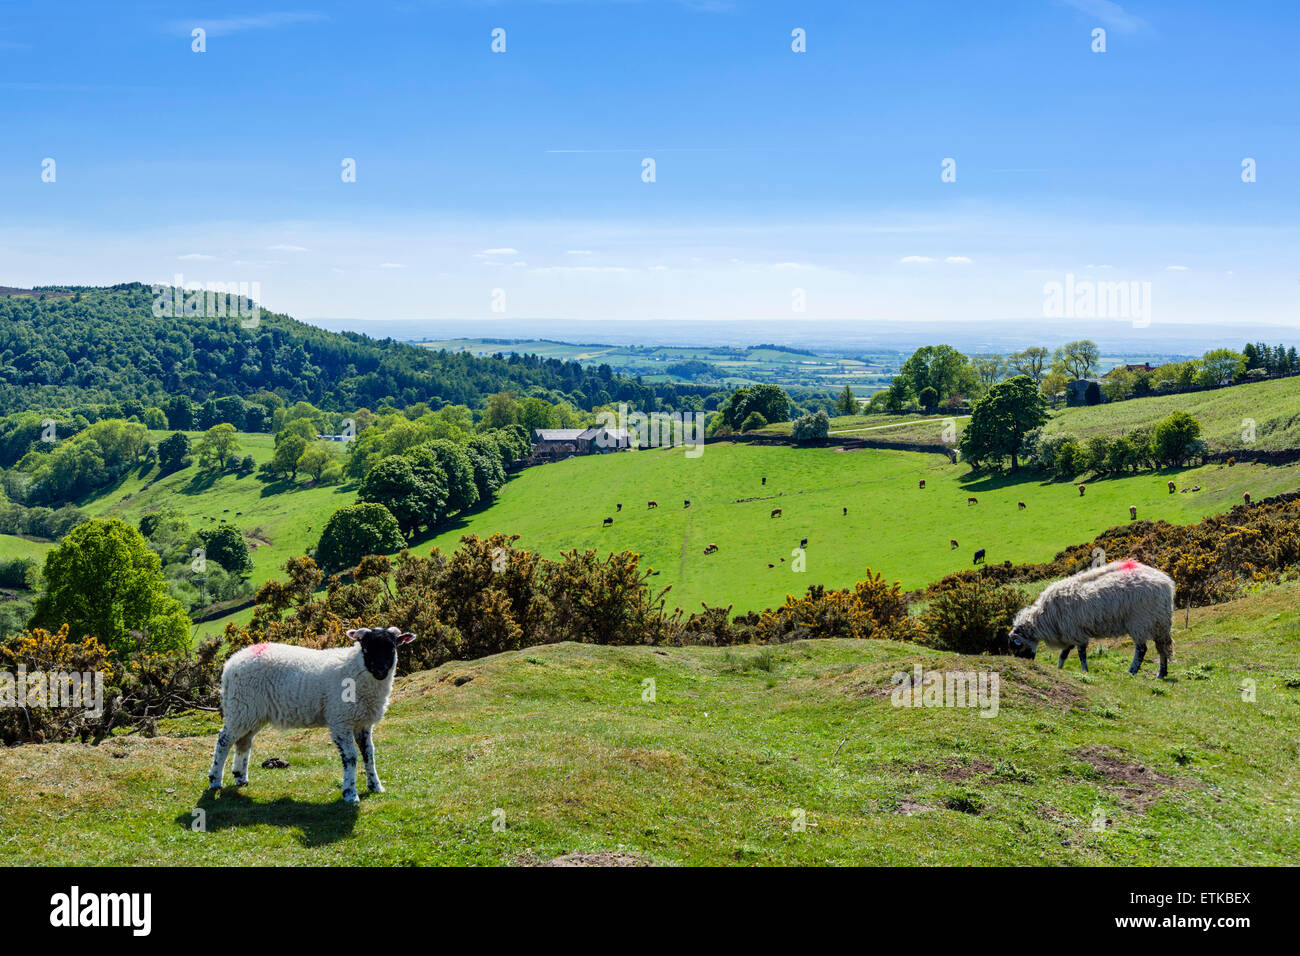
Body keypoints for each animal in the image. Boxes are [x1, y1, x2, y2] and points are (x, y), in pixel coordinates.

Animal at [208, 629, 413, 801]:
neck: (355, 670)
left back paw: (240, 778)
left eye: (392, 647)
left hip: (252, 713)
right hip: (241, 707)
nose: (380, 669)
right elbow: (351, 757)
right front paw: (350, 793)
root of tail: (231, 664)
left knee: (243, 741)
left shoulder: (362, 723)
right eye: (367, 647)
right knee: (224, 740)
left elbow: (369, 754)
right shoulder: (340, 720)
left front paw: (375, 786)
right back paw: (215, 780)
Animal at [1003, 561, 1180, 681]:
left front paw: (1084, 671)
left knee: (1142, 650)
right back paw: (1161, 673)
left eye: (1017, 647)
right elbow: (1064, 653)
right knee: (1162, 649)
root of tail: (1166, 584)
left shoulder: (1075, 631)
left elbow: (1081, 653)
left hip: (1141, 622)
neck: (1044, 618)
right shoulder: (1070, 632)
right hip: (1159, 622)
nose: (1027, 664)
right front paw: (1059, 668)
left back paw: (1132, 671)